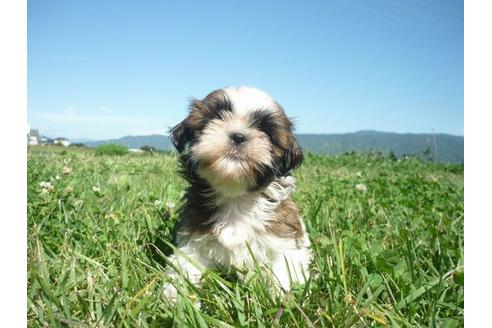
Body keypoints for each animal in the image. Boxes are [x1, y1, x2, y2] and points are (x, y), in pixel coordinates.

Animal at [165, 86, 312, 302]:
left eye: (264, 130)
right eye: (217, 116)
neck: (236, 197)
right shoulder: (193, 238)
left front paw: (281, 297)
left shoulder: (284, 239)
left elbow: (285, 267)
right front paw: (175, 297)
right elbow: (184, 263)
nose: (238, 136)